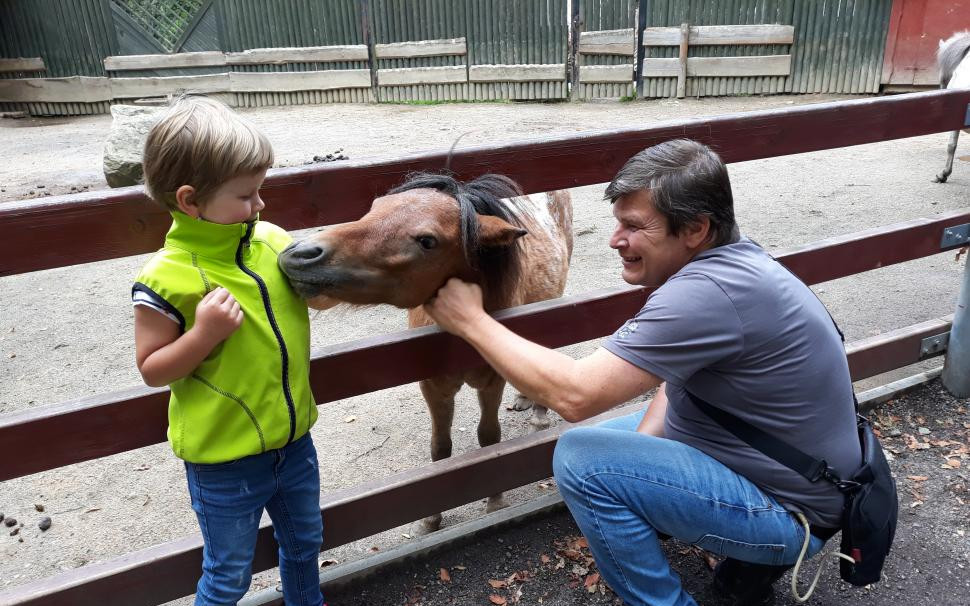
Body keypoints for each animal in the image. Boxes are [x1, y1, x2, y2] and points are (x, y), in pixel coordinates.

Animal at [276, 172, 572, 532]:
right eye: (375, 207)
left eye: (427, 241)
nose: (300, 254)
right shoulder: (433, 387)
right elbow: (439, 449)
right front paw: (431, 516)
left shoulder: (491, 383)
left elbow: (489, 438)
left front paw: (495, 500)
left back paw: (539, 414)